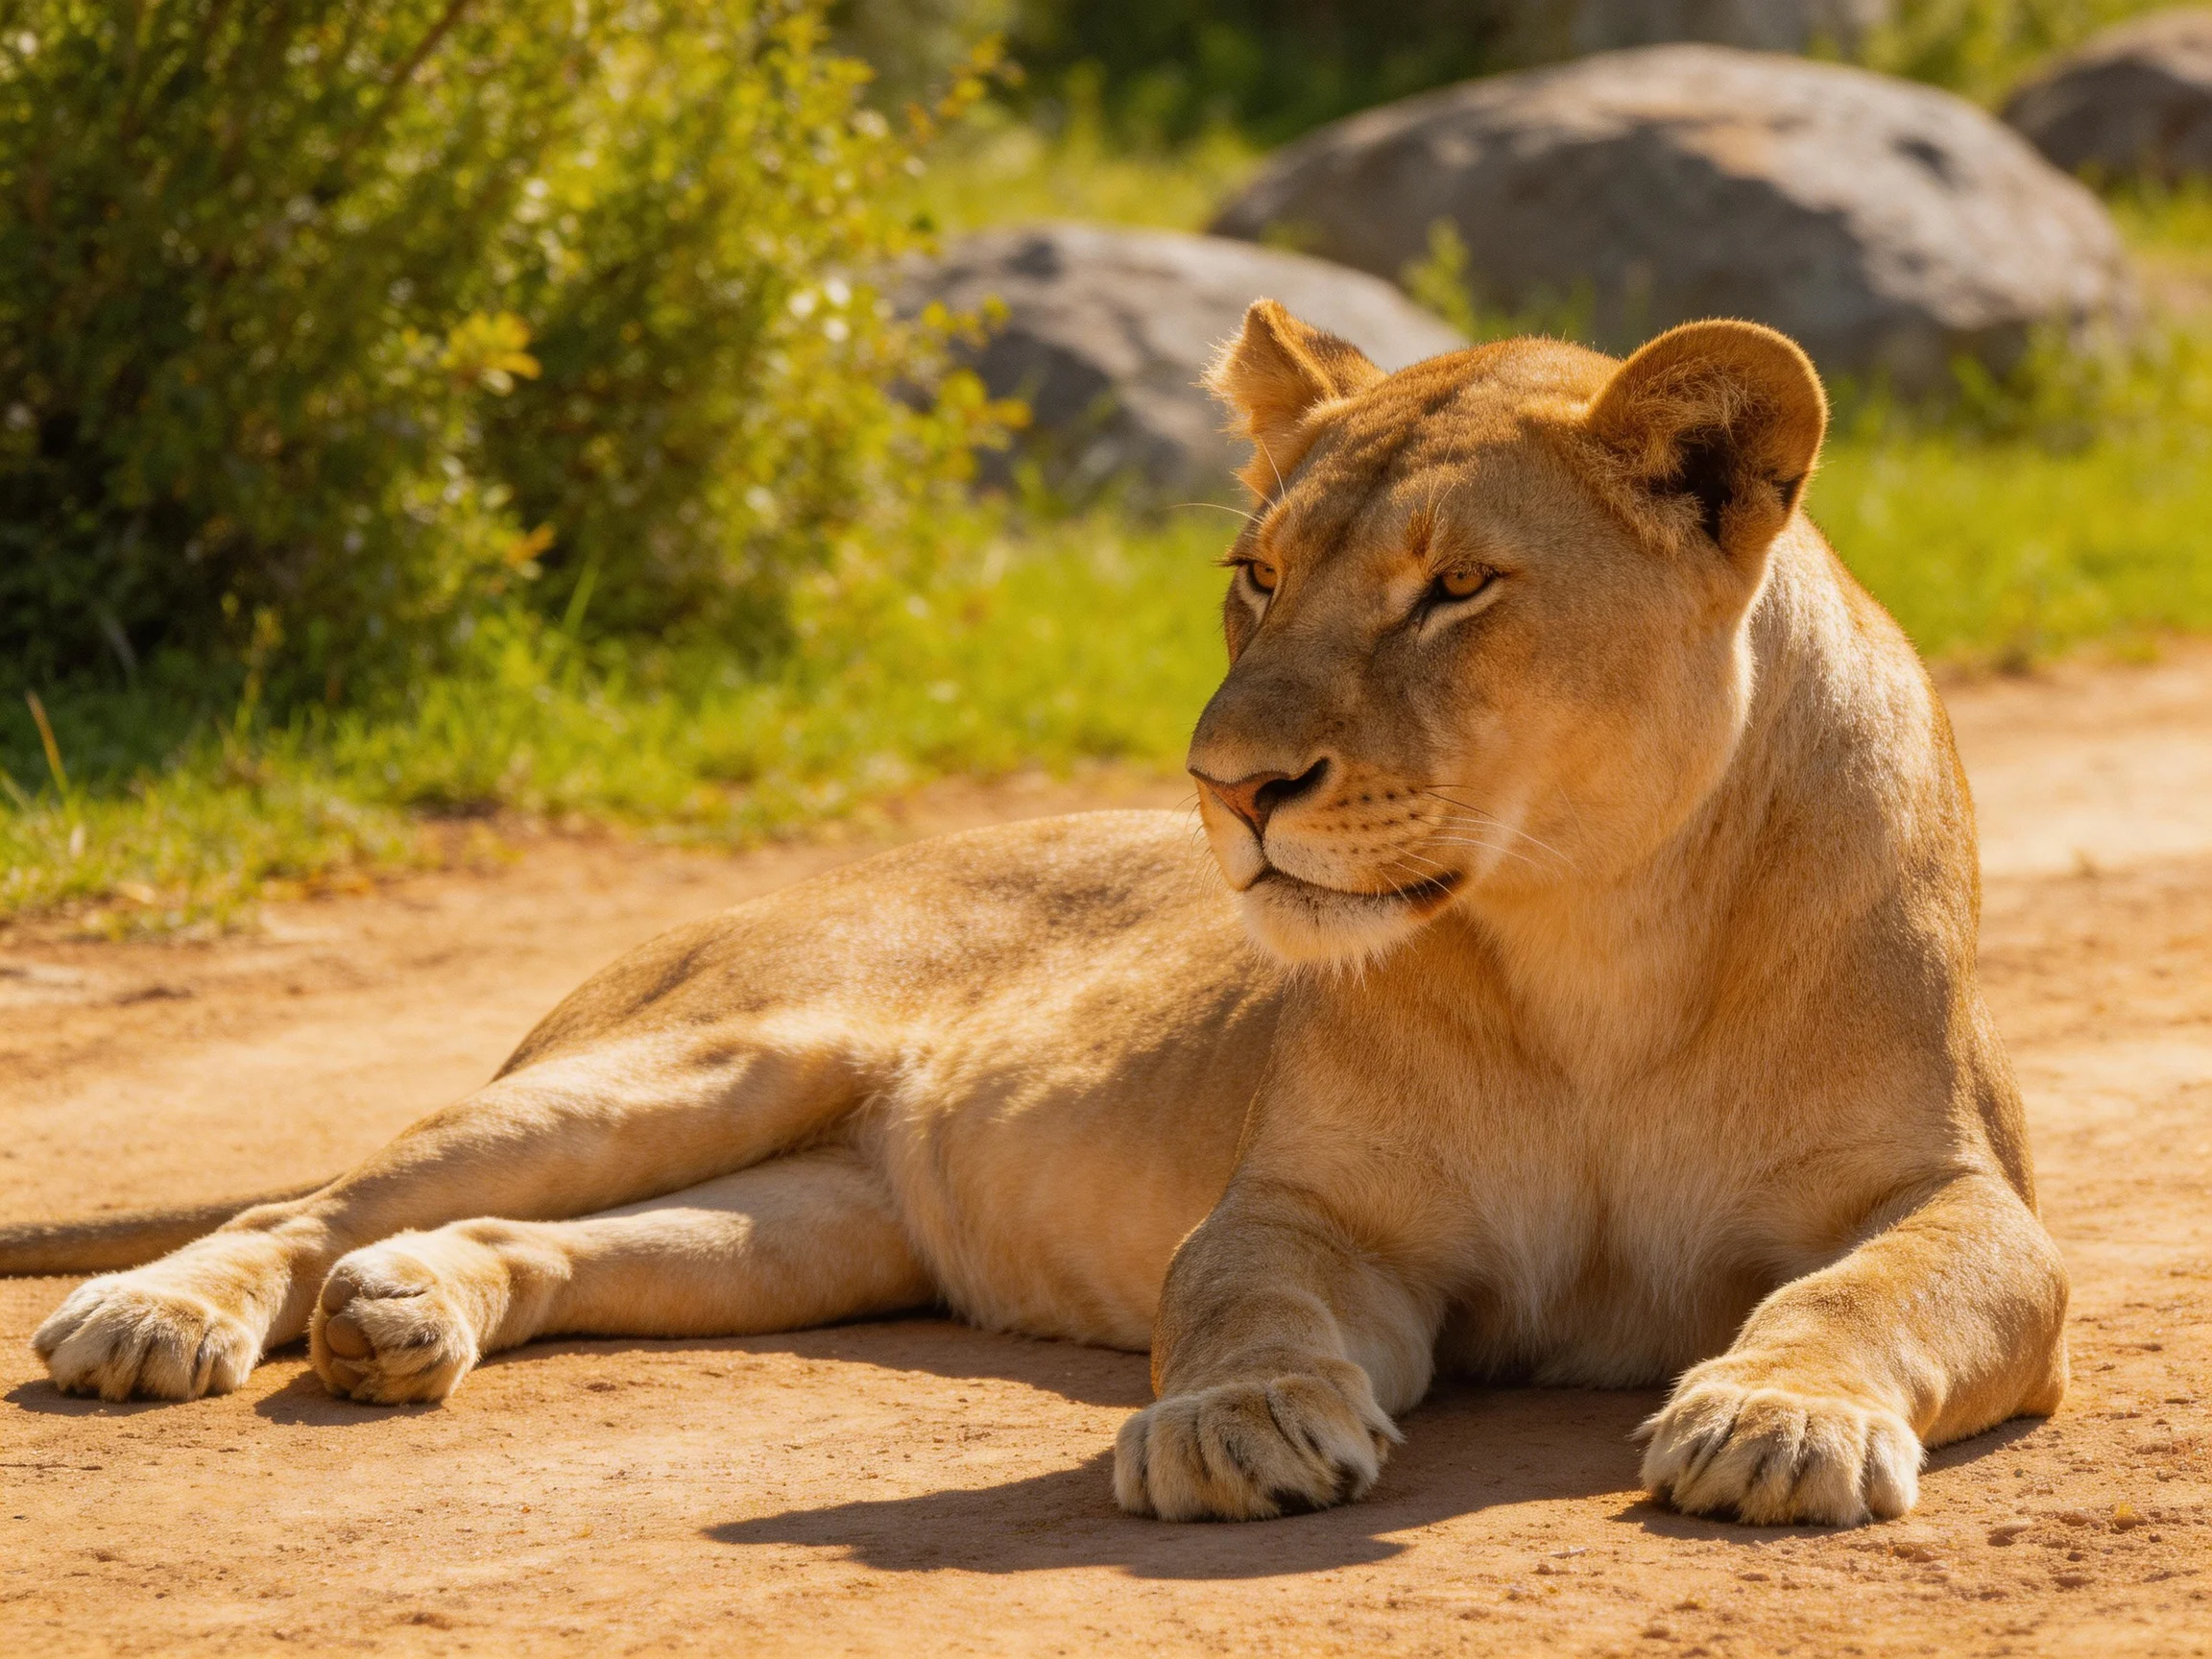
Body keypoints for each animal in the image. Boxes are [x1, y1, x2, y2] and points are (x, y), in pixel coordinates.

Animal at [6, 305, 2068, 1528]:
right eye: (1256, 576)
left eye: (1454, 588)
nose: (1230, 786)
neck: (1590, 944)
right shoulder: (1304, 1204)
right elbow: (1239, 1297)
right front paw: (1237, 1427)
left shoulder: (1967, 1199)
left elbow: (1859, 1282)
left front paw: (1773, 1422)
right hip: (686, 1062)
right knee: (314, 1194)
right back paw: (162, 1311)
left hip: (811, 1223)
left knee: (527, 1235)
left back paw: (402, 1312)